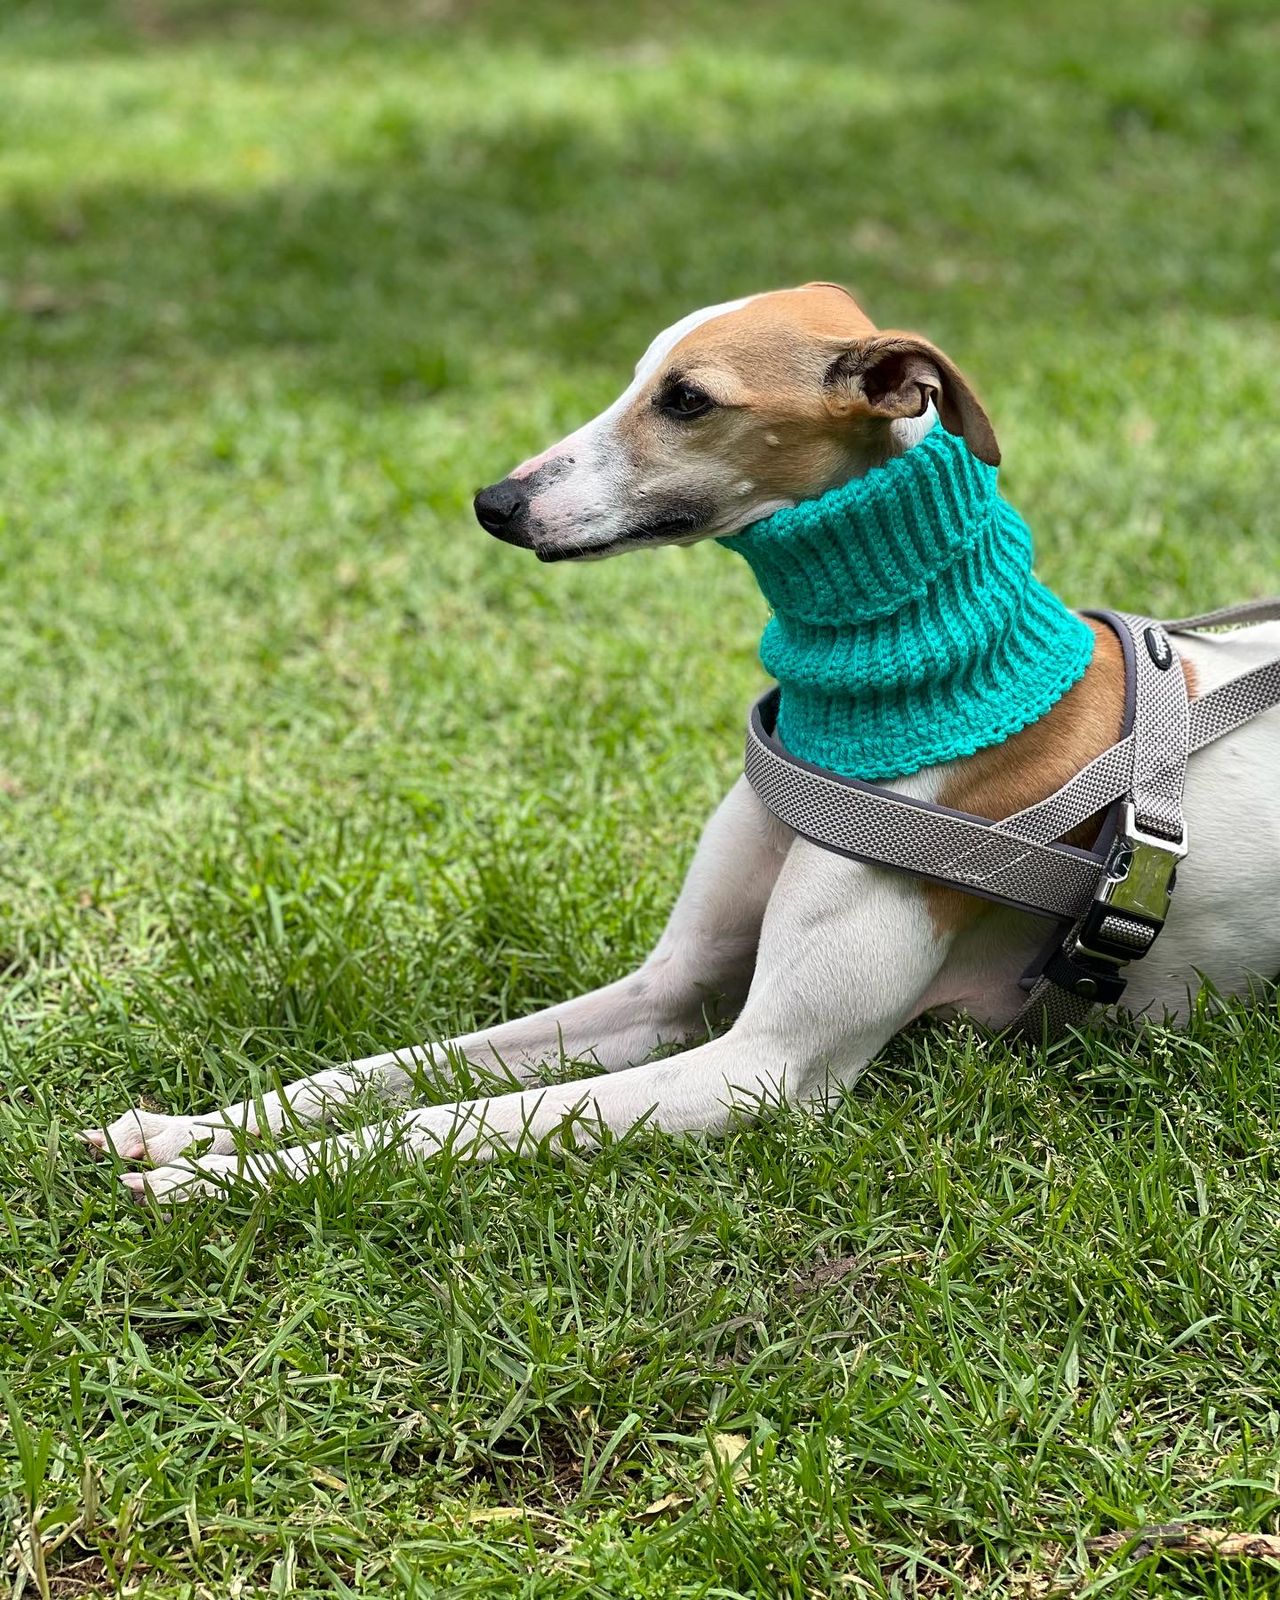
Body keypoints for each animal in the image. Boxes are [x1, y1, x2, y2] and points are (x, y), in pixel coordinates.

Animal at [83, 283, 1280, 1201]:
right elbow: (400, 1069)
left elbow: (460, 1118)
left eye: (688, 399)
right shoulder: (667, 991)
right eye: (636, 377)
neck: (920, 685)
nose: (493, 502)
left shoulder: (764, 1065)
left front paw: (215, 1178)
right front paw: (194, 1129)